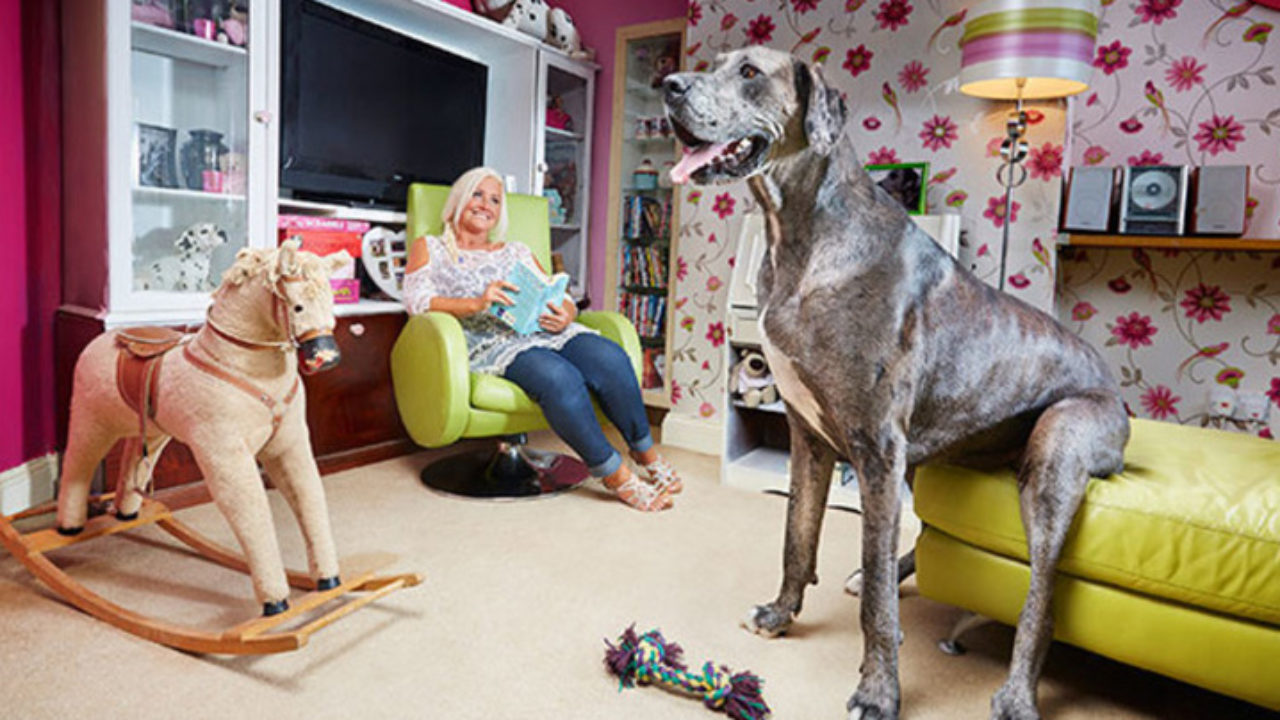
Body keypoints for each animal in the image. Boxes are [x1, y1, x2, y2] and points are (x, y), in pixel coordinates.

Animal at [665, 47, 1126, 712]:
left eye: (750, 72)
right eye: (715, 62)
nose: (669, 86)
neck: (798, 235)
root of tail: (1115, 384)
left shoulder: (877, 447)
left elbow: (880, 600)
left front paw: (879, 691)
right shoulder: (811, 437)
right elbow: (797, 536)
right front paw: (780, 614)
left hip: (1056, 451)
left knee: (1040, 591)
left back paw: (1017, 695)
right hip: (930, 460)